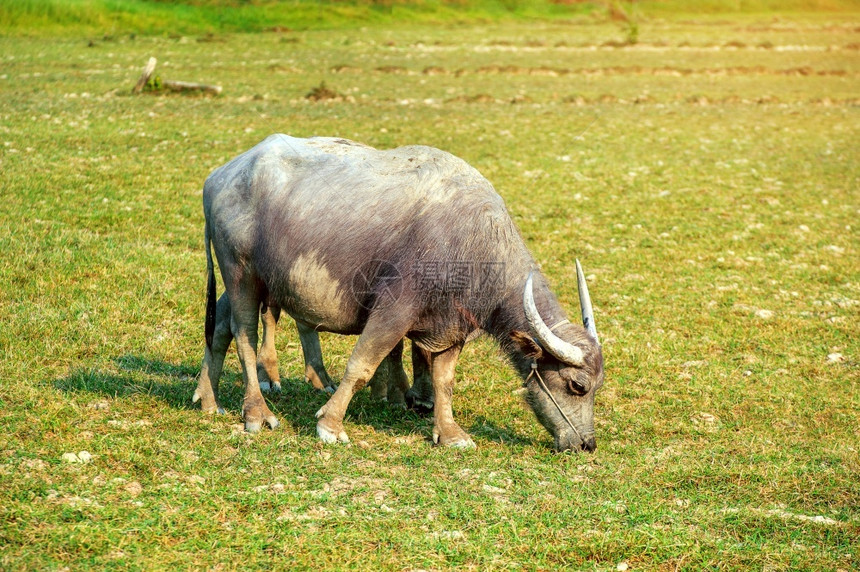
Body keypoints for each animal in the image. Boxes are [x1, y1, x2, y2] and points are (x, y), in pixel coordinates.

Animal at [202, 134, 604, 452]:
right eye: (577, 385)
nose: (587, 444)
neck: (471, 244)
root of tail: (219, 177)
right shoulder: (393, 310)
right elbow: (362, 365)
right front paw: (330, 425)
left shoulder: (451, 326)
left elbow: (444, 380)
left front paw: (450, 432)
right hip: (240, 272)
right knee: (244, 335)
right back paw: (257, 413)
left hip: (251, 278)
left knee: (219, 325)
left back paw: (206, 398)